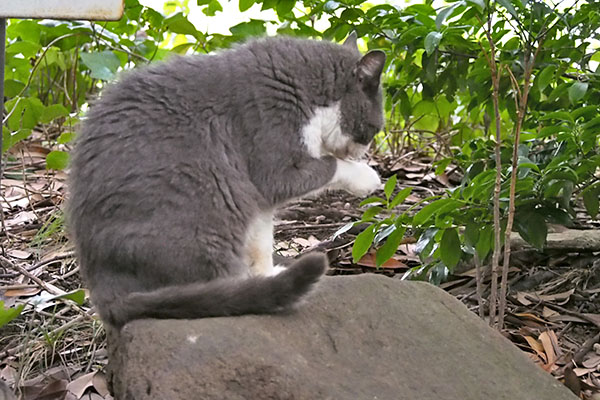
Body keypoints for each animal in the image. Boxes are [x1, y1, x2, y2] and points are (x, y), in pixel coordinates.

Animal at [68, 32, 386, 328]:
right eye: (373, 129)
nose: (365, 150)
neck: (299, 88)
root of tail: (102, 289)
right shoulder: (275, 164)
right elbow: (330, 165)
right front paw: (367, 177)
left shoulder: (258, 200)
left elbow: (261, 240)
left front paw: (265, 272)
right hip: (208, 201)